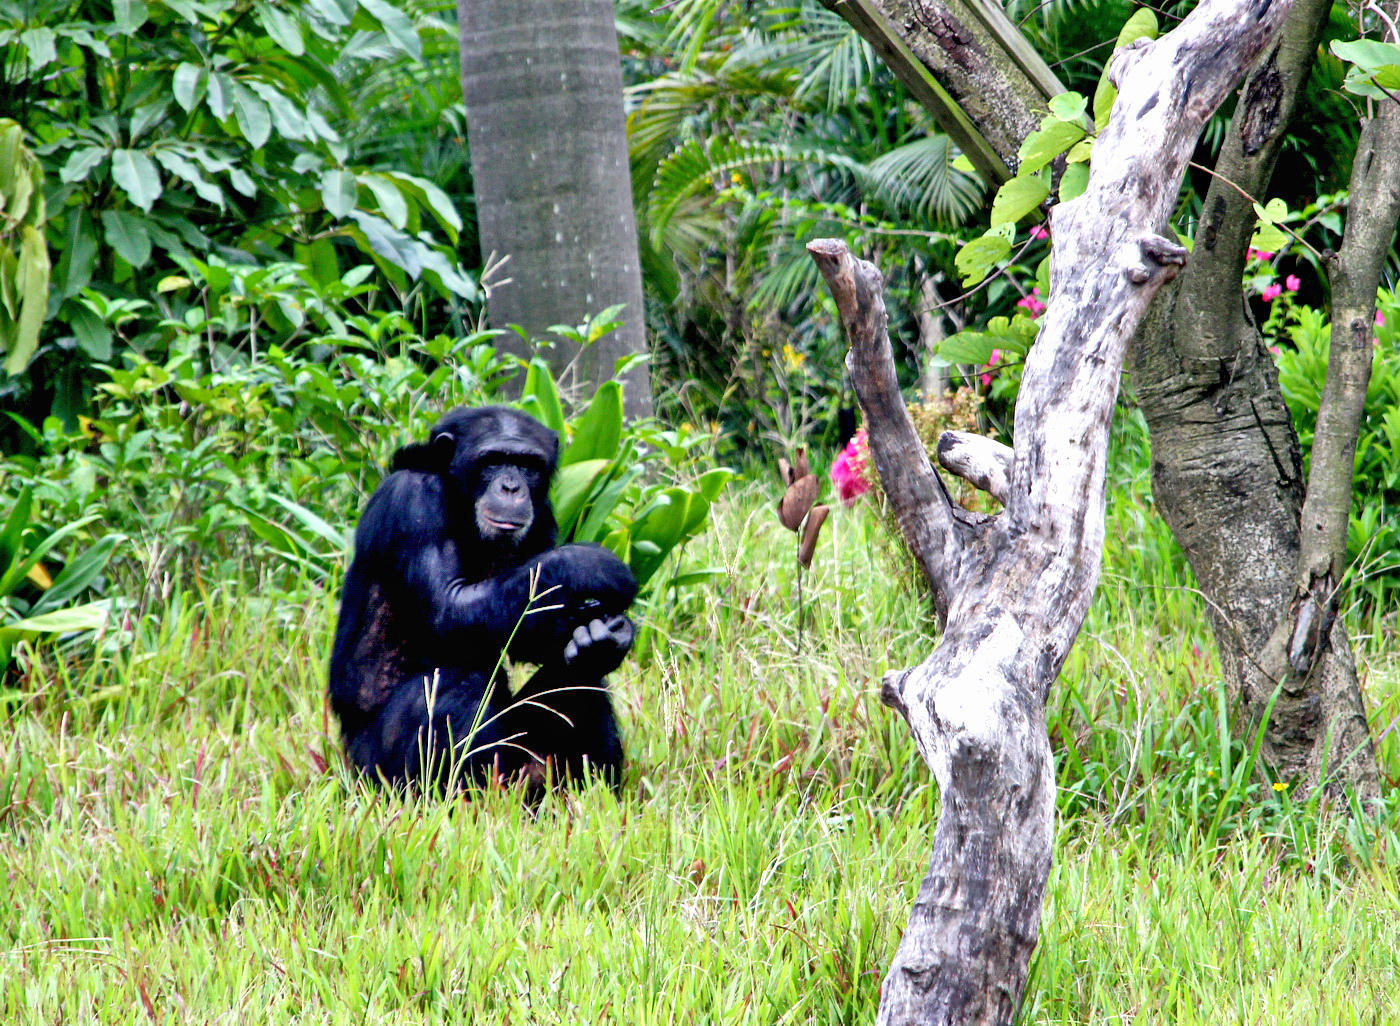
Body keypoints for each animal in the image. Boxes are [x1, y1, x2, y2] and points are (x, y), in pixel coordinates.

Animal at [324, 403, 638, 789]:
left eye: (528, 465)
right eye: (492, 460)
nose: (511, 486)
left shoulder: (543, 518)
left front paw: (610, 635)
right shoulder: (414, 501)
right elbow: (449, 608)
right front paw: (590, 564)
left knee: (581, 676)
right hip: (376, 771)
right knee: (456, 683)